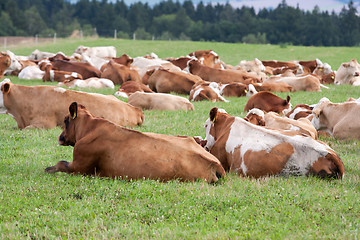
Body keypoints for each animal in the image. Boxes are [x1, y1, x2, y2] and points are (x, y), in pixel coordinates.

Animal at [45, 101, 225, 182]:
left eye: (66, 120)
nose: (60, 137)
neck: (90, 127)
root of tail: (216, 164)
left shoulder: (80, 166)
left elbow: (61, 163)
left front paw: (48, 168)